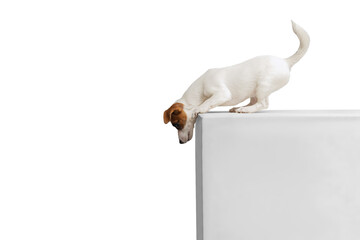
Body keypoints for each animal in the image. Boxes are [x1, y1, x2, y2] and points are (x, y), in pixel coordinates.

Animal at [163, 20, 310, 143]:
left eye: (176, 124)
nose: (180, 142)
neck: (198, 91)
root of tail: (286, 61)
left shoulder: (222, 93)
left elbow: (207, 103)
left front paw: (199, 108)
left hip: (263, 86)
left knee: (262, 104)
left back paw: (245, 110)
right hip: (255, 91)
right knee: (254, 101)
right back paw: (240, 107)